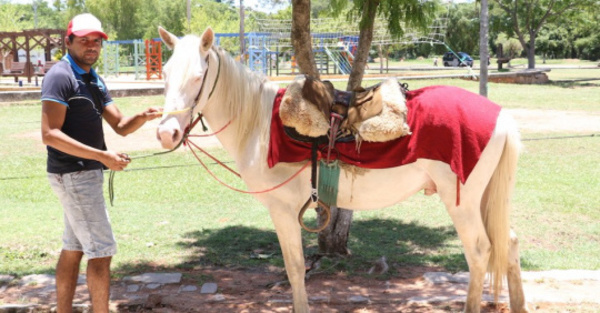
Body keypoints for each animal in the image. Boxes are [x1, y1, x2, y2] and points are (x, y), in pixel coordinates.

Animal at [156, 27, 528, 312]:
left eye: (198, 76)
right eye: (165, 74)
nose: (166, 133)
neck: (259, 126)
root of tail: (501, 115)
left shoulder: (283, 211)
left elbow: (294, 268)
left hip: (461, 202)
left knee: (479, 252)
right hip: (484, 198)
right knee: (508, 244)